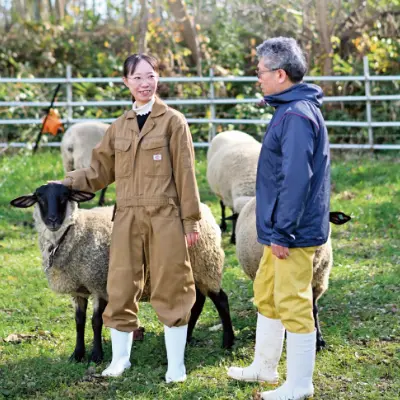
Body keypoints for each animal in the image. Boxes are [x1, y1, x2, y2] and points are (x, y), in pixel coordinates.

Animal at [10, 184, 234, 364]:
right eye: (39, 198)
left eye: (65, 196)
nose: (52, 220)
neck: (74, 232)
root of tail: (205, 210)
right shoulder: (78, 290)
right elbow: (79, 322)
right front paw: (77, 354)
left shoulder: (100, 283)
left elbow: (96, 322)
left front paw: (97, 356)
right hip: (194, 269)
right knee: (197, 302)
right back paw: (186, 338)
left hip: (206, 264)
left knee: (221, 299)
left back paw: (228, 342)